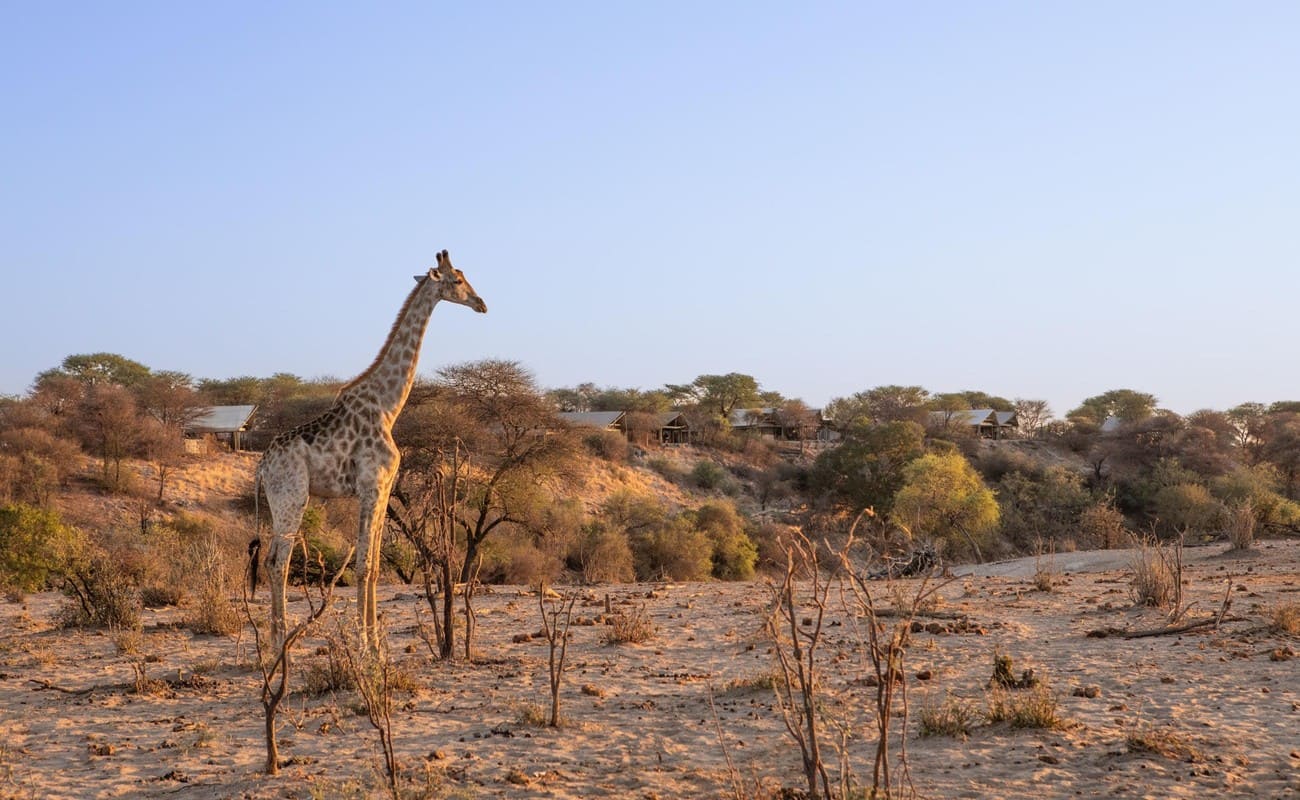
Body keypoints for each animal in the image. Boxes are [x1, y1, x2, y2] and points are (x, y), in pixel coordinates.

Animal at [255, 250, 486, 653]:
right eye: (457, 280)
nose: (482, 304)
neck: (388, 406)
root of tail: (263, 466)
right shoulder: (371, 487)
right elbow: (363, 565)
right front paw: (364, 645)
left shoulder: (385, 488)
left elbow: (376, 566)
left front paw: (377, 645)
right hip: (292, 497)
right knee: (278, 563)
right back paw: (280, 646)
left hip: (278, 501)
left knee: (271, 560)